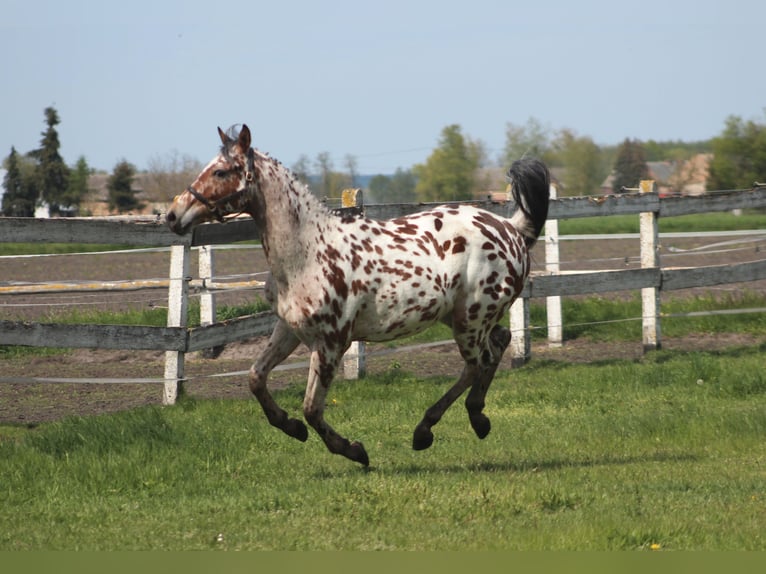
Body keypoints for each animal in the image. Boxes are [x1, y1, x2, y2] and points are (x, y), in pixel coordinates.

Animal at [168, 126, 552, 468]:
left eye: (220, 170)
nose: (174, 215)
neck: (307, 253)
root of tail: (512, 229)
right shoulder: (289, 329)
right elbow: (255, 378)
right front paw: (290, 426)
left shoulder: (331, 342)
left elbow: (312, 409)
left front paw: (354, 450)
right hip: (462, 317)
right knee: (498, 344)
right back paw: (476, 418)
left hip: (471, 320)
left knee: (478, 361)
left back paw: (427, 430)